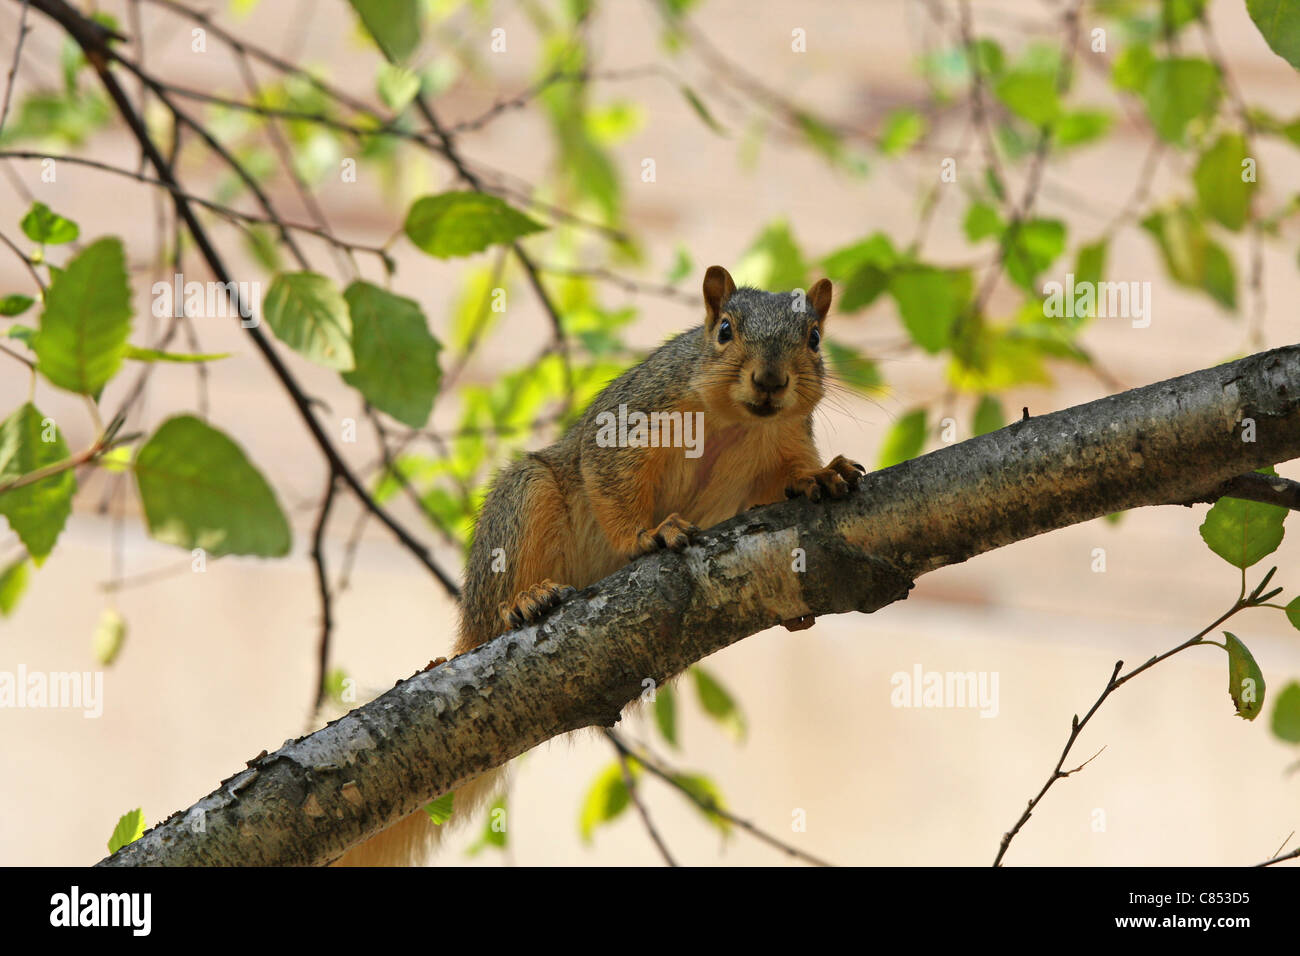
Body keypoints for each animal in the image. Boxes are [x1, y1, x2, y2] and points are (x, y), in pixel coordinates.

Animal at [334, 265, 863, 866]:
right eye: (725, 329)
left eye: (815, 338)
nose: (771, 380)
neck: (736, 423)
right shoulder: (636, 418)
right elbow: (613, 476)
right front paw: (646, 534)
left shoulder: (786, 441)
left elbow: (788, 476)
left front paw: (821, 475)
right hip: (525, 502)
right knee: (500, 602)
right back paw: (526, 600)